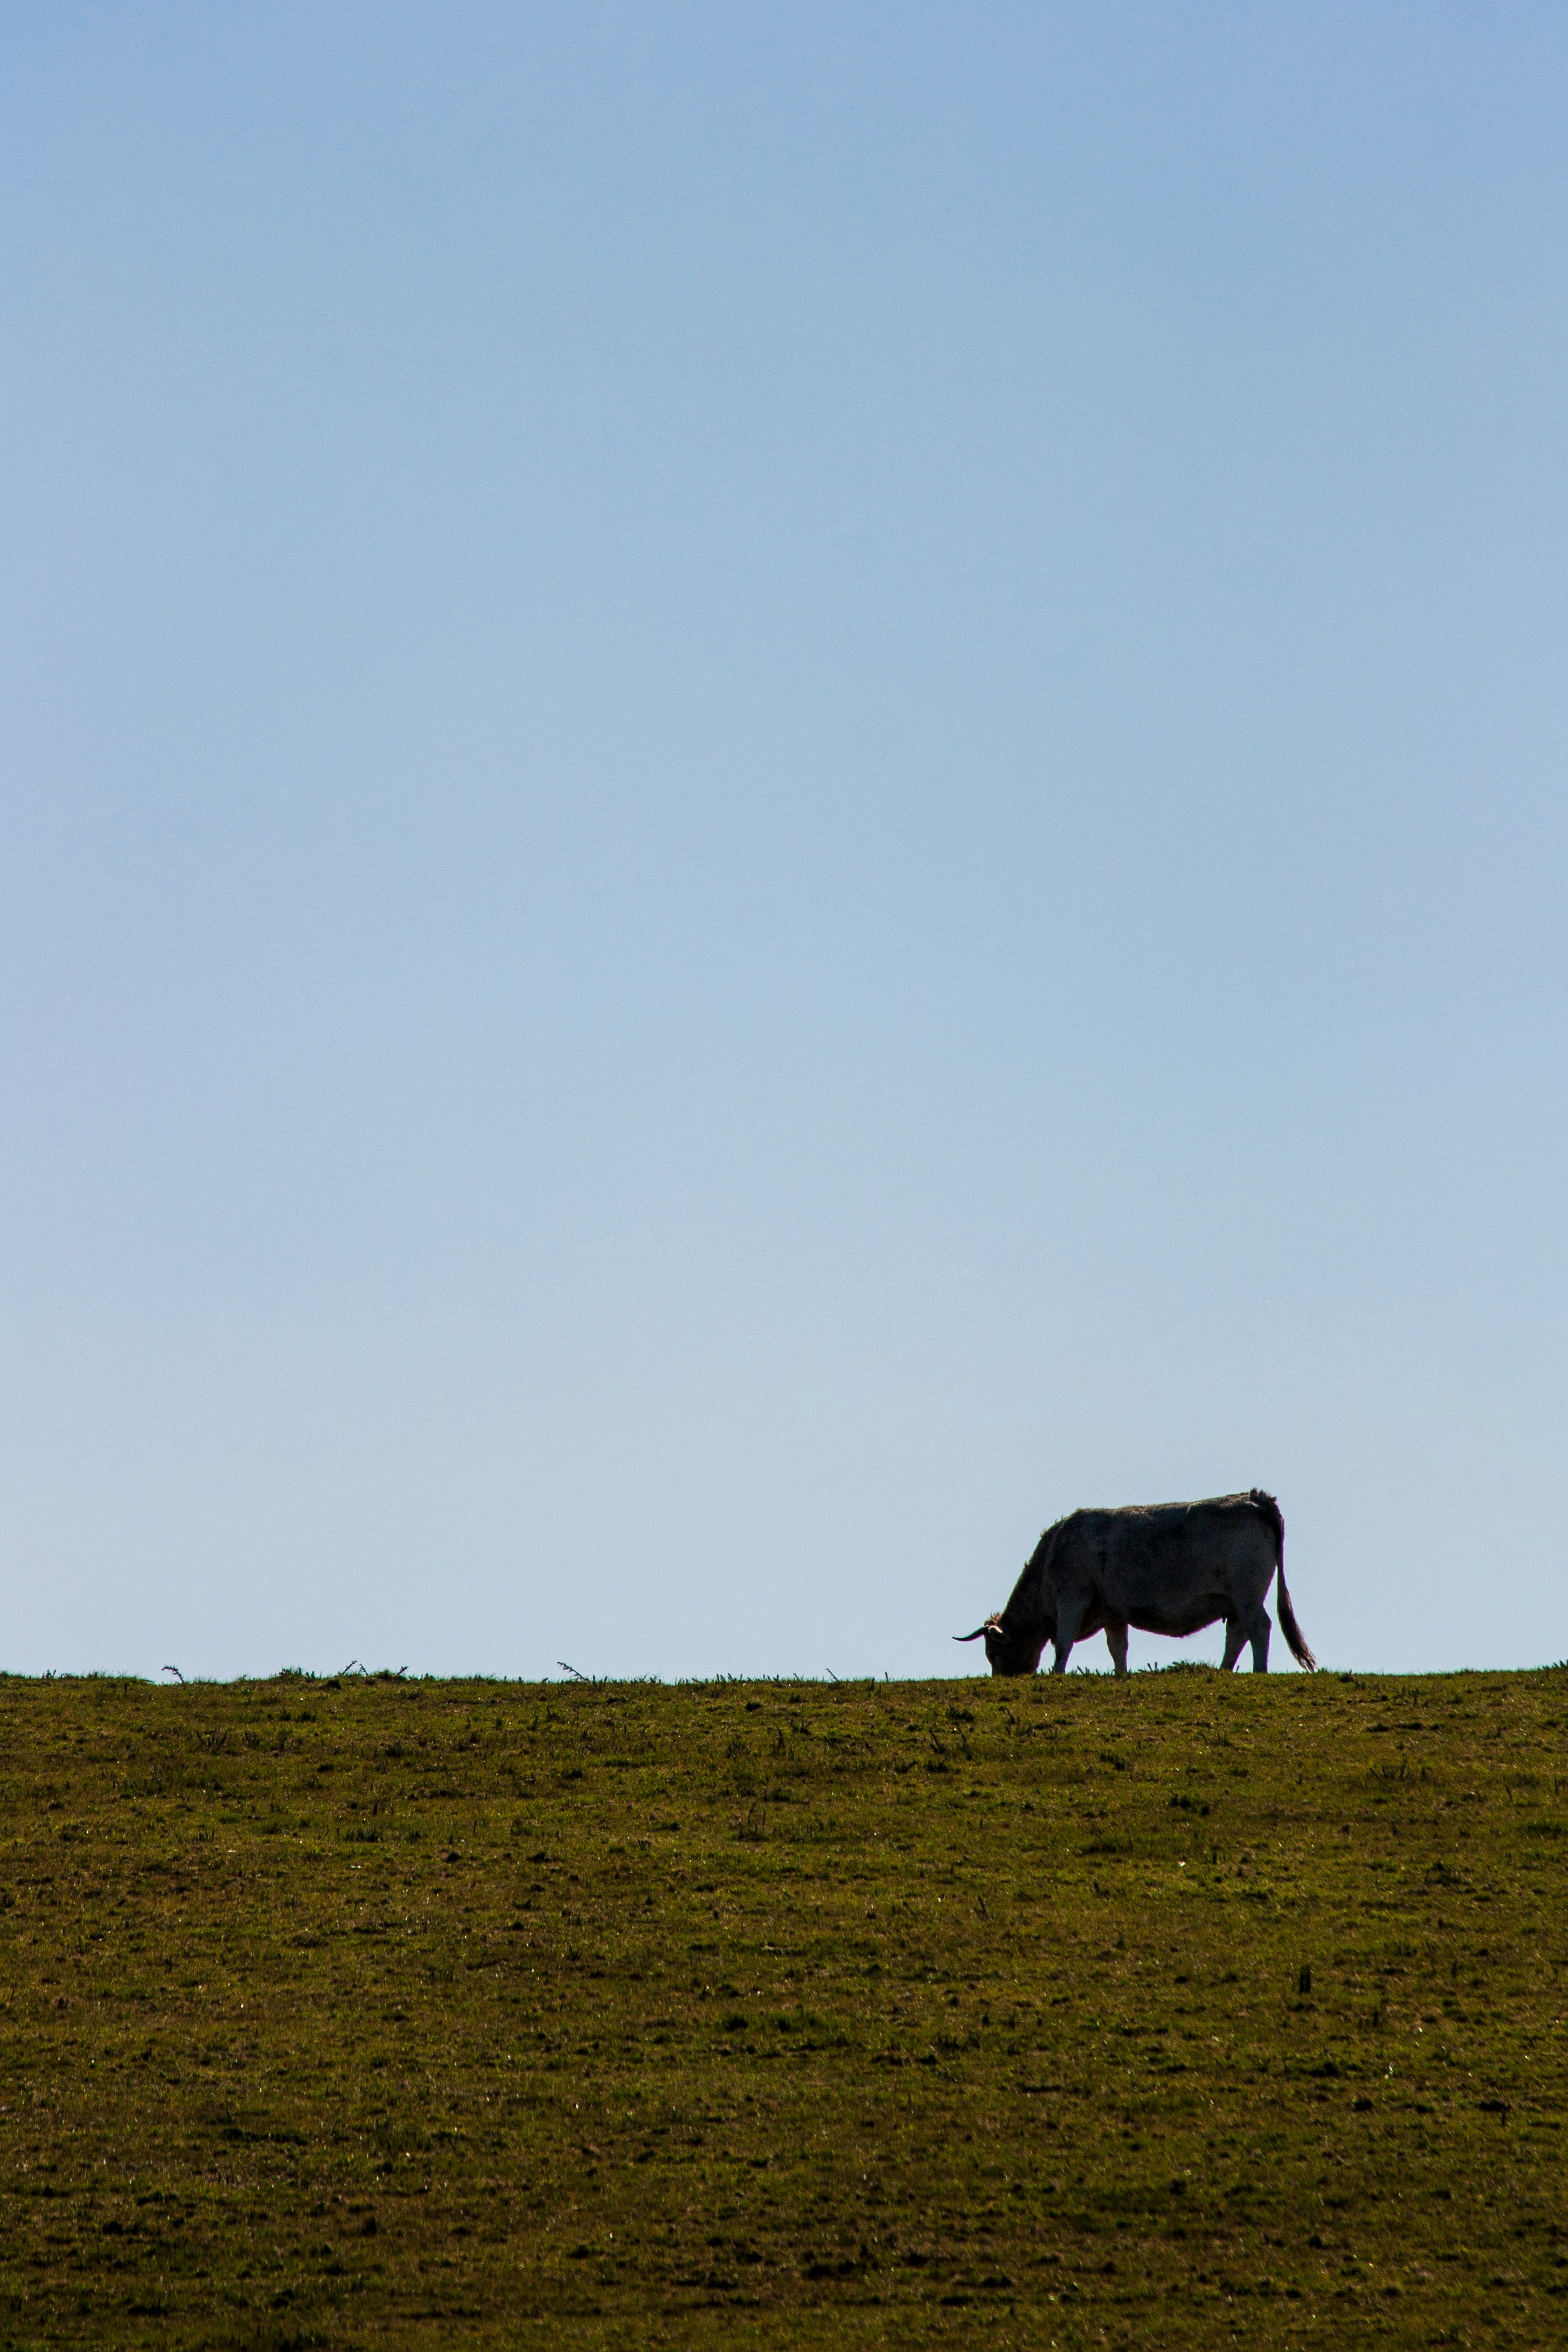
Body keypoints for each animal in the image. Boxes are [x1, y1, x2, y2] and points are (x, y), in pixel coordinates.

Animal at [955, 1489, 1316, 1677]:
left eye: (993, 1652)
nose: (1002, 1680)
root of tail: (1252, 1497)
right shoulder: (1113, 1614)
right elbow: (1118, 1649)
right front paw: (1121, 1677)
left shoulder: (1072, 1597)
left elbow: (1063, 1642)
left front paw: (1057, 1674)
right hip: (1235, 1601)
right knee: (1238, 1634)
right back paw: (1224, 1671)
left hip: (1247, 1596)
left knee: (1259, 1628)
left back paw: (1259, 1672)